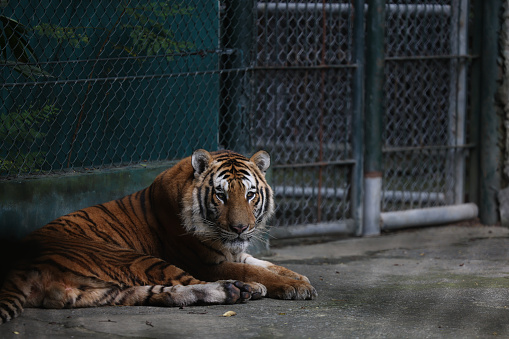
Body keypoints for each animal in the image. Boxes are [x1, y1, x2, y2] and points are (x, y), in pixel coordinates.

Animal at [0, 149, 316, 324]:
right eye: (221, 195)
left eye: (250, 194)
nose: (240, 228)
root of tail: (16, 266)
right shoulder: (205, 262)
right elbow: (256, 271)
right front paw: (294, 286)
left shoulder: (236, 251)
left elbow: (267, 264)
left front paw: (299, 277)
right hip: (133, 258)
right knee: (187, 281)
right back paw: (246, 288)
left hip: (108, 291)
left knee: (166, 293)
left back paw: (234, 291)